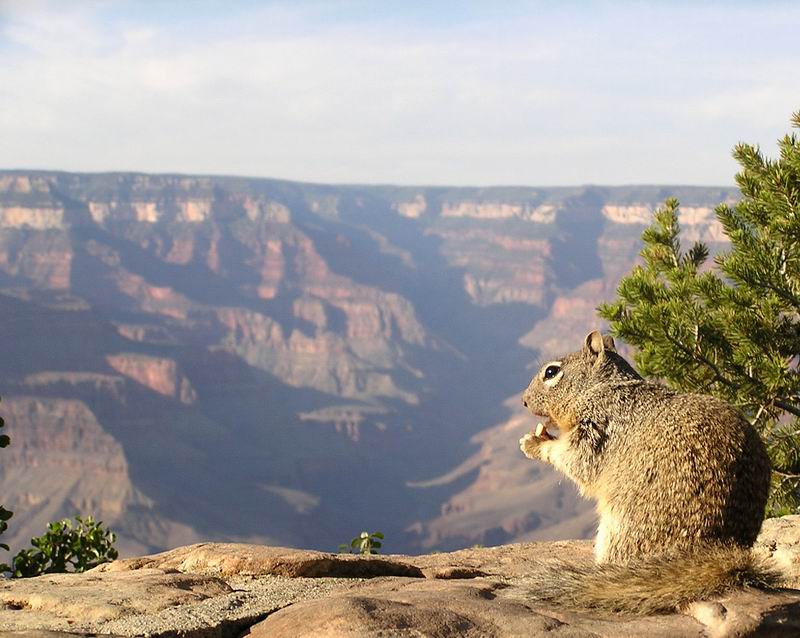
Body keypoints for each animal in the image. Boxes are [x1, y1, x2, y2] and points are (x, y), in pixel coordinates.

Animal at [516, 330, 780, 616]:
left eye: (551, 372)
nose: (524, 401)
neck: (602, 389)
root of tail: (718, 546)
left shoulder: (597, 430)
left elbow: (574, 460)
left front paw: (534, 443)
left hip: (620, 529)